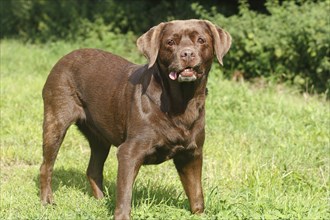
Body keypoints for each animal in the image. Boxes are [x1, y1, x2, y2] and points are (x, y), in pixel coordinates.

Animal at [40, 19, 231, 219]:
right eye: (170, 42)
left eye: (201, 40)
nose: (187, 53)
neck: (181, 103)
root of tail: (64, 58)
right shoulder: (130, 152)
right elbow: (125, 194)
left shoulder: (191, 154)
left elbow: (196, 195)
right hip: (56, 121)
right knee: (46, 166)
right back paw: (47, 201)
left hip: (100, 137)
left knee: (93, 169)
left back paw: (101, 200)